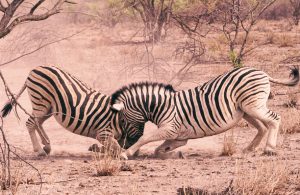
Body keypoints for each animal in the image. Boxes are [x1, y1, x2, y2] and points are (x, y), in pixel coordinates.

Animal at [0, 66, 137, 157]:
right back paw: (40, 150)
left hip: (48, 107)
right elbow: (116, 147)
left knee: (37, 123)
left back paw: (47, 145)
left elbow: (116, 146)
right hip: (41, 102)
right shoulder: (104, 132)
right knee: (31, 123)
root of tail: (35, 69)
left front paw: (98, 149)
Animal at [110, 66, 300, 159]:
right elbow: (159, 150)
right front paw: (174, 154)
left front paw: (125, 154)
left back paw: (269, 149)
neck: (162, 106)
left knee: (274, 119)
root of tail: (263, 73)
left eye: (123, 121)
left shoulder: (170, 128)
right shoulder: (179, 137)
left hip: (253, 106)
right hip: (246, 110)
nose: (124, 144)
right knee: (262, 127)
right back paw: (248, 148)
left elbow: (145, 138)